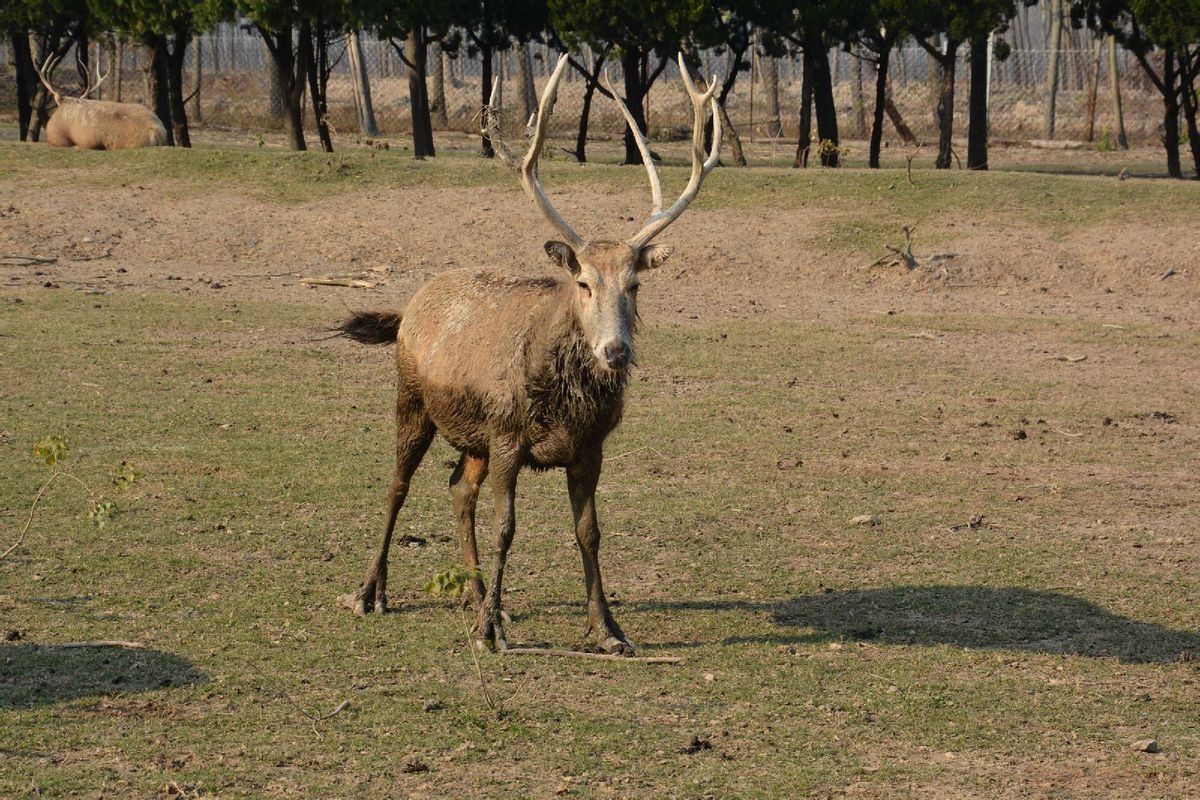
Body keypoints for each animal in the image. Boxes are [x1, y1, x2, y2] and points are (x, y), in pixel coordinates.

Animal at [338, 53, 720, 655]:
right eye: (584, 283)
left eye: (634, 284)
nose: (615, 351)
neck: (560, 401)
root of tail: (409, 307)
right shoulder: (507, 435)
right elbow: (507, 528)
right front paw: (490, 632)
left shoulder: (589, 447)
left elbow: (589, 531)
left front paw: (608, 629)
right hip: (413, 399)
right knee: (398, 485)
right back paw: (372, 593)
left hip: (472, 435)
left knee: (458, 489)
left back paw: (475, 598)